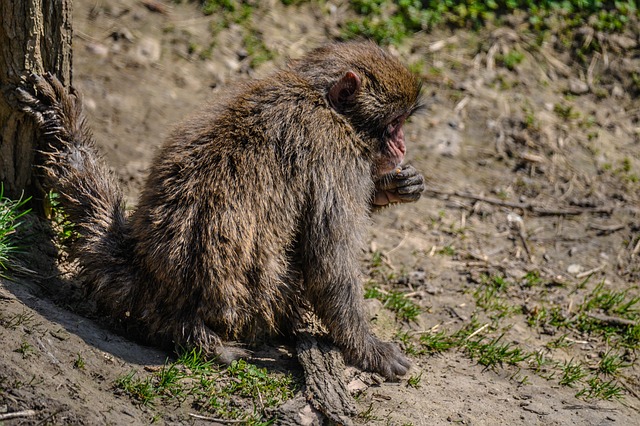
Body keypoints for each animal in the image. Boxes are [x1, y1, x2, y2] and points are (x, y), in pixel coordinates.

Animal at [17, 40, 424, 380]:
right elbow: (329, 263)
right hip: (256, 304)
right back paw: (210, 343)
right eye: (393, 125)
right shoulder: (338, 158)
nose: (402, 146)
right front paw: (366, 348)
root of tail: (145, 278)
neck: (318, 97)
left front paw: (394, 187)